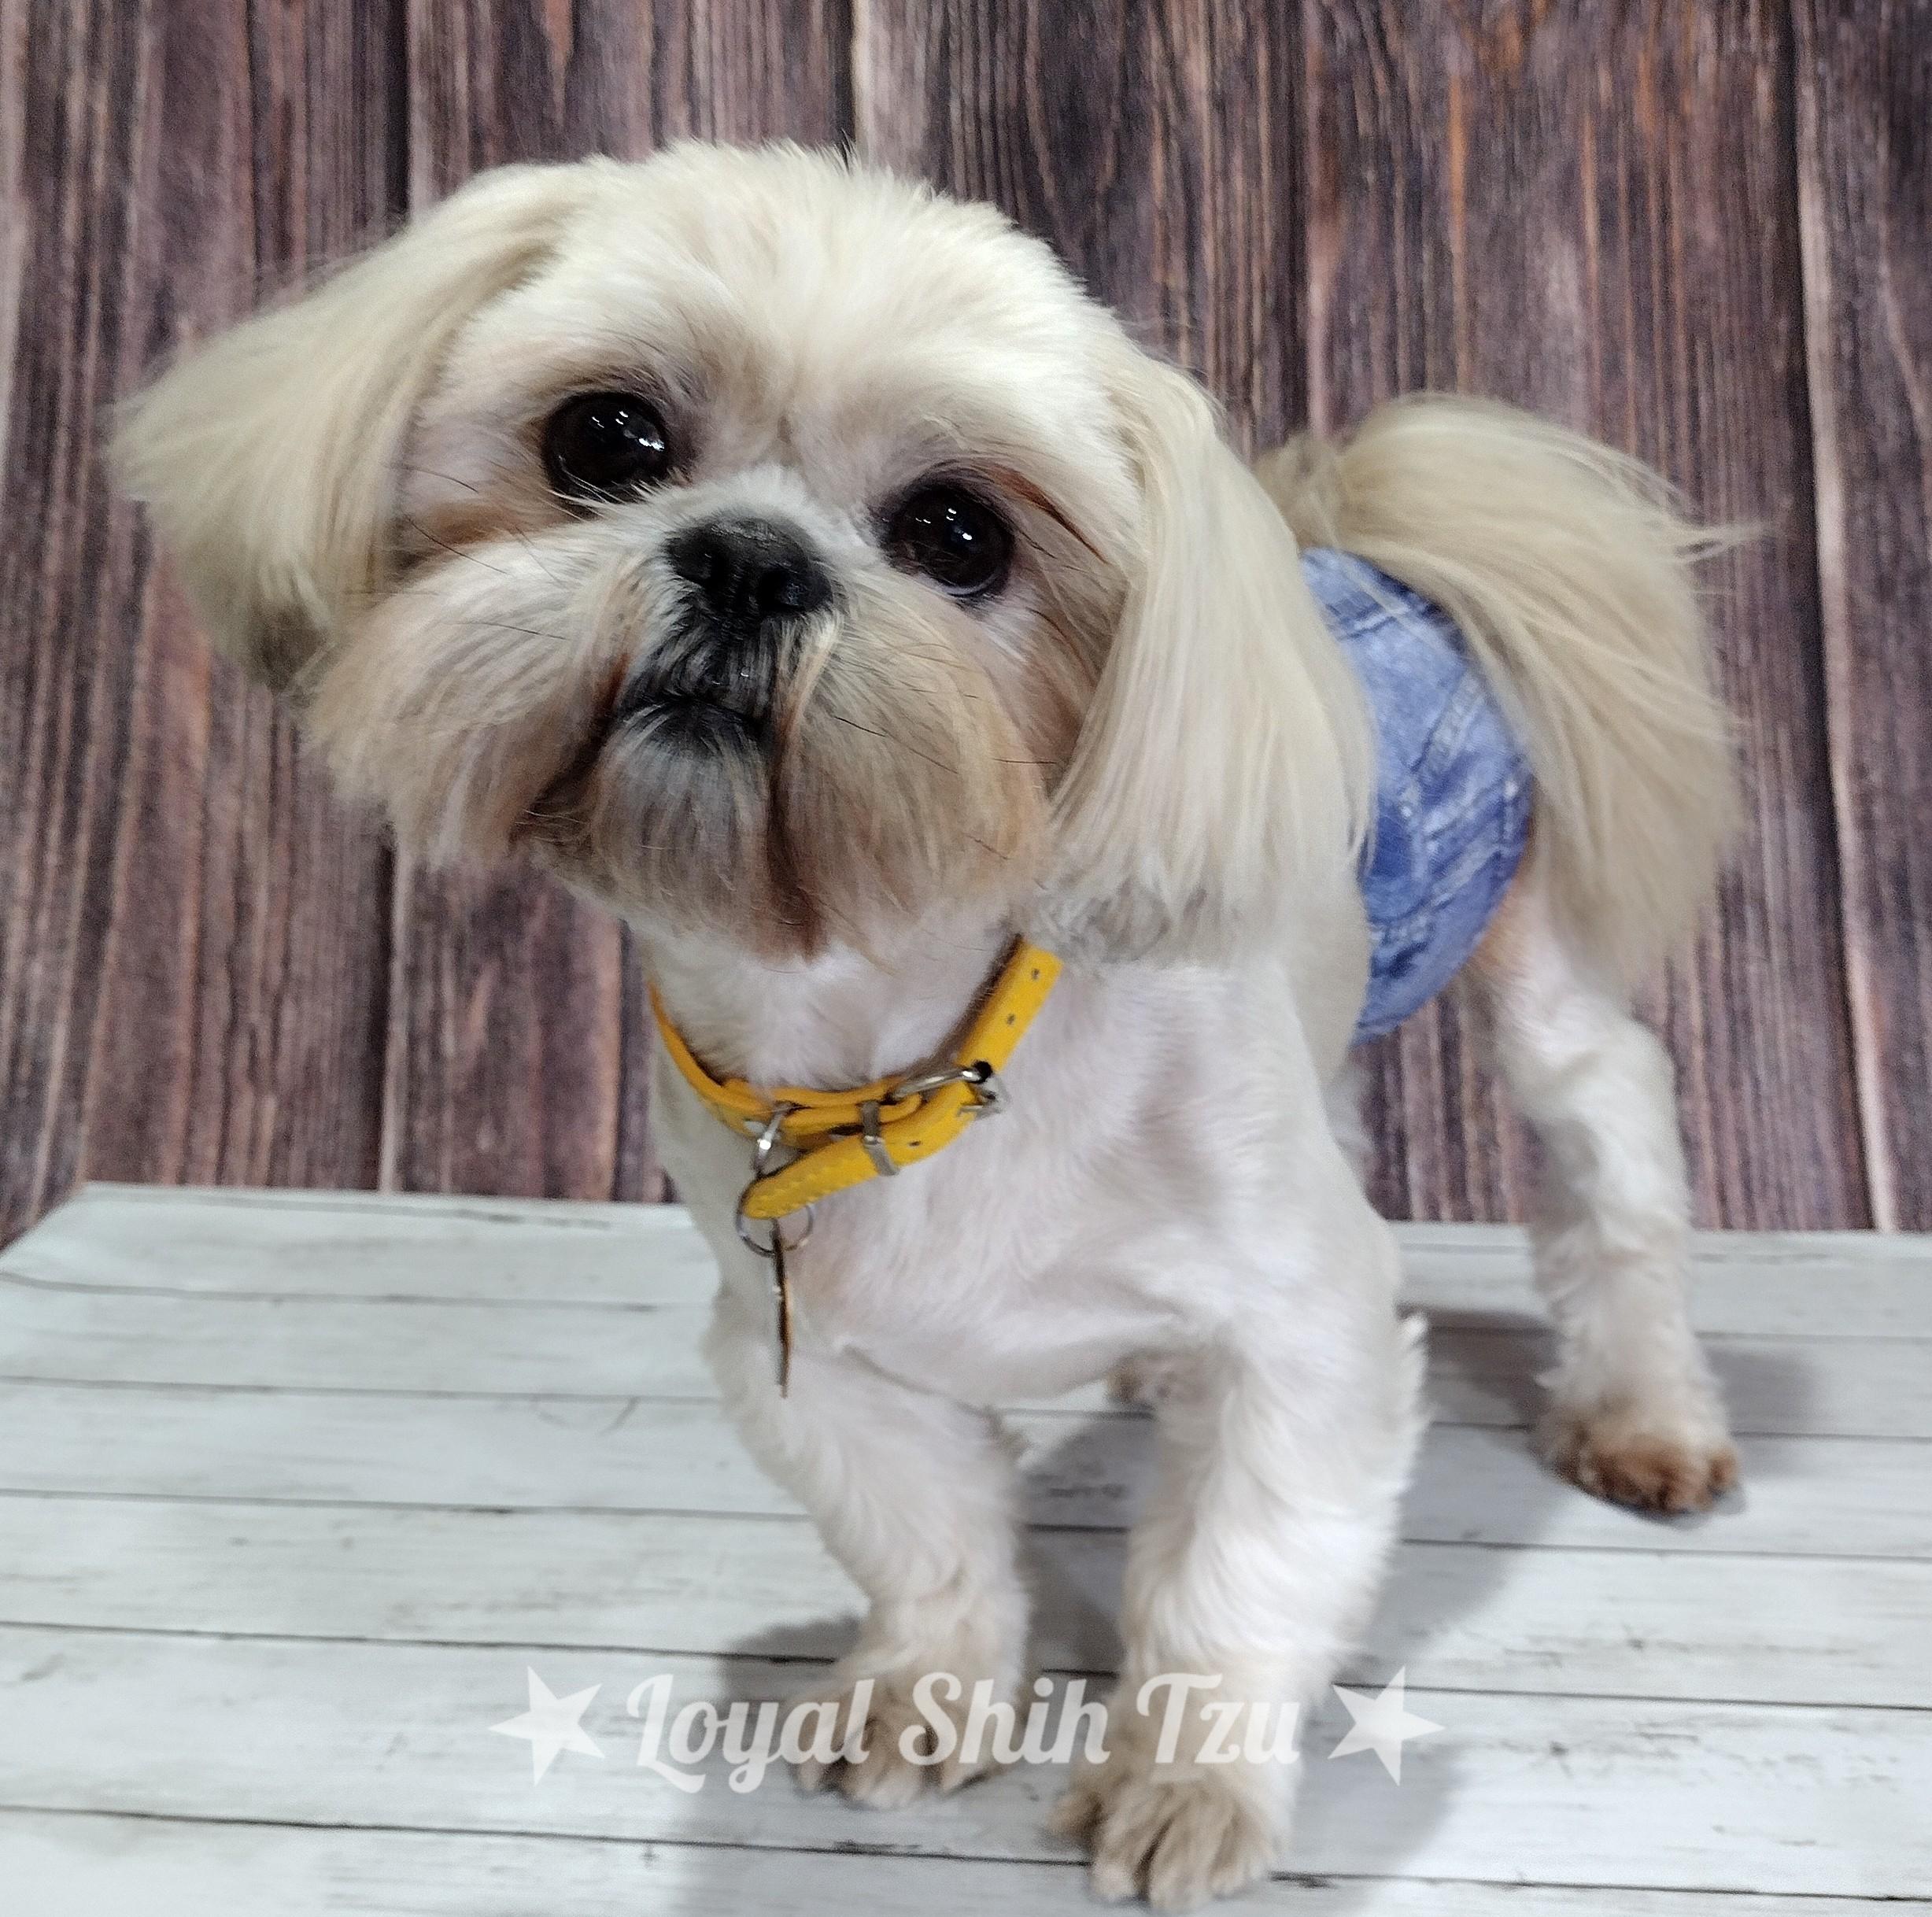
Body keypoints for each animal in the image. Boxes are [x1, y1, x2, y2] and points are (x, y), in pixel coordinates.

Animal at [120, 143, 1740, 1908]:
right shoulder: (809, 1353)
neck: (895, 1044)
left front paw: (1186, 1784)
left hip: (1529, 969)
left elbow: (1236, 1573)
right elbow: (929, 1544)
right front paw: (926, 1697)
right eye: (605, 439)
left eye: (959, 533)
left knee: (1614, 1152)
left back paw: (1646, 1413)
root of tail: (1362, 545)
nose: (750, 558)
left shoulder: (1305, 1339)